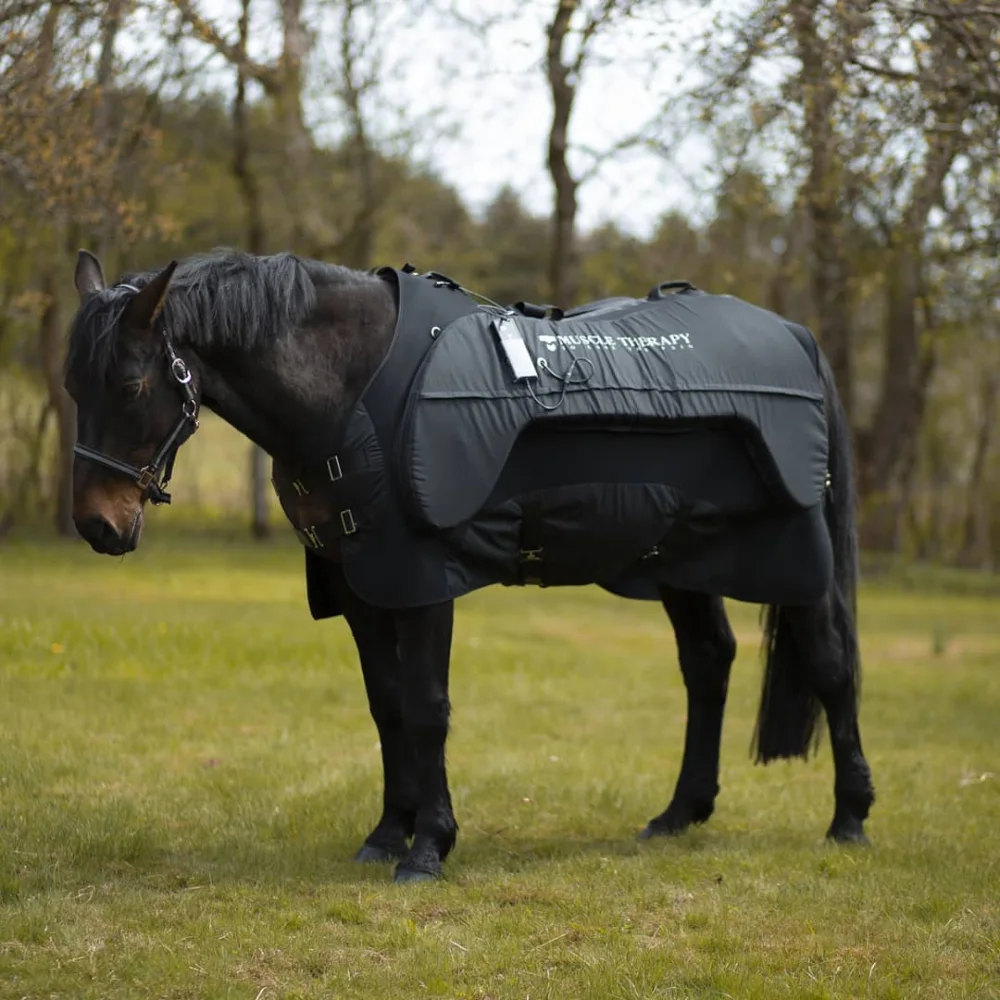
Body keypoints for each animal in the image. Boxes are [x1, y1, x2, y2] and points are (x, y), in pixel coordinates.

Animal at [65, 248, 875, 883]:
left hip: (795, 556)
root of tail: (796, 337)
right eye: (75, 386)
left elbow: (428, 707)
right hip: (679, 558)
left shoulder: (424, 579)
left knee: (831, 664)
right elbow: (388, 706)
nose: (97, 525)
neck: (352, 388)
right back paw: (679, 813)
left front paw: (429, 847)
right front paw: (387, 833)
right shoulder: (362, 585)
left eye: (131, 384)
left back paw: (850, 821)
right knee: (708, 662)